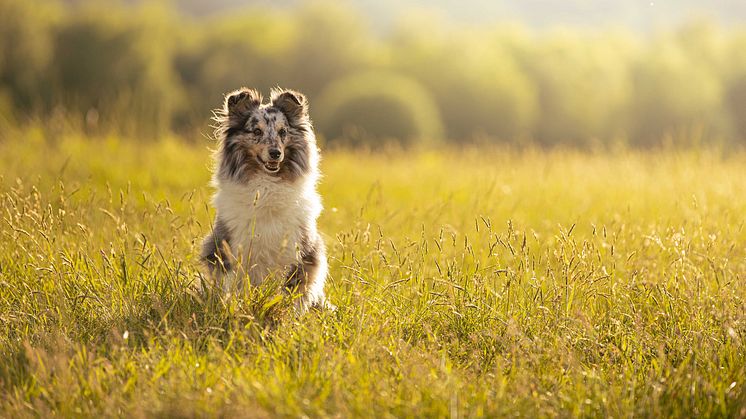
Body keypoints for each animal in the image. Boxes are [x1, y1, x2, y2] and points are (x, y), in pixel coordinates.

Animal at [199, 88, 326, 312]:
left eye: (283, 132)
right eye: (256, 132)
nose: (275, 153)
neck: (267, 186)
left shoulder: (303, 253)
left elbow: (293, 291)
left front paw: (290, 315)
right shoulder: (227, 249)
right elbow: (231, 284)